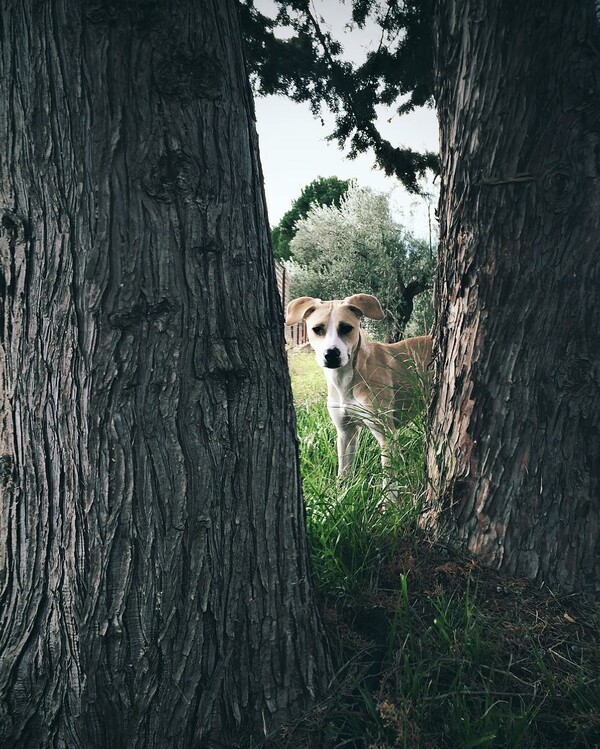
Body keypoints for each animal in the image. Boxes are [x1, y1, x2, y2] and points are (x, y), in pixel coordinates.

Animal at [286, 292, 432, 480]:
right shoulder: (346, 432)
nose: (331, 354)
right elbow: (344, 473)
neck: (346, 381)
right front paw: (342, 487)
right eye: (317, 329)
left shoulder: (386, 435)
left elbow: (389, 479)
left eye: (346, 328)